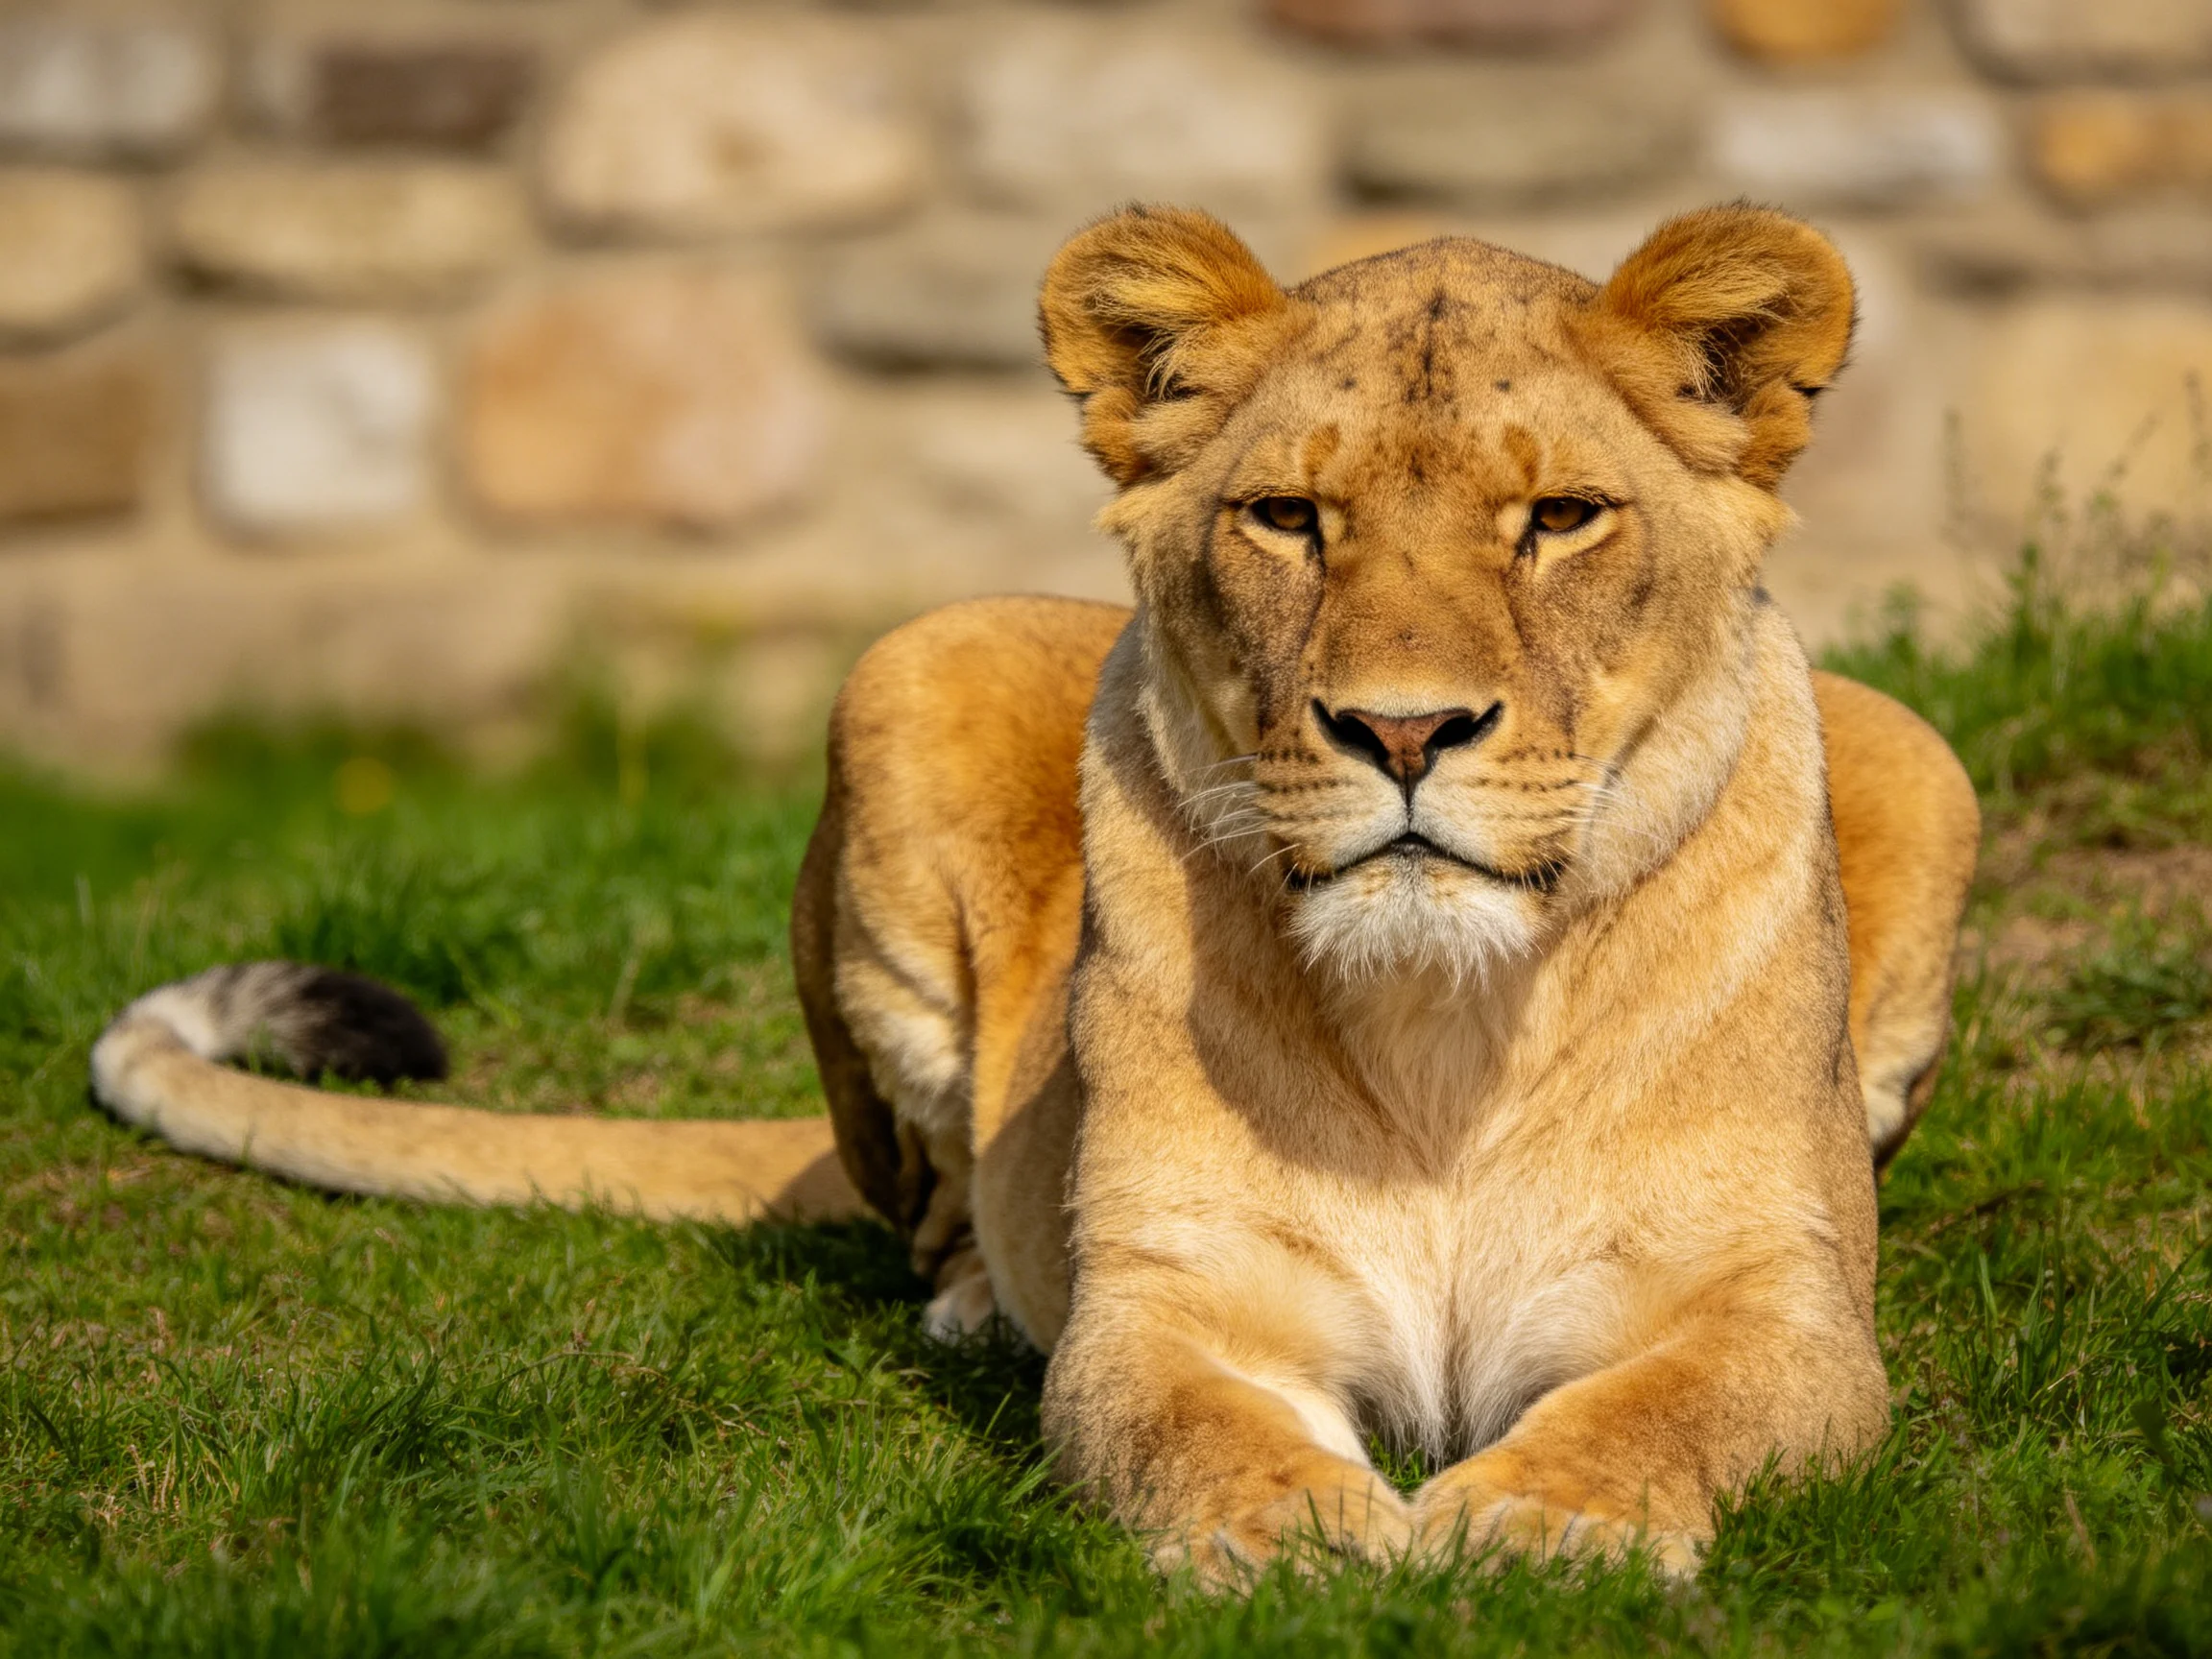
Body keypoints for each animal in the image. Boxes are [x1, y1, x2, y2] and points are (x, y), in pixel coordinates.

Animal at [91, 204, 1980, 1584]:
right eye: (1287, 517)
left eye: (1563, 517)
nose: (1399, 728)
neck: (1443, 1030)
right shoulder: (1168, 1299)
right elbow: (1184, 1428)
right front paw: (1296, 1540)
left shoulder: (1783, 1306)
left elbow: (1666, 1410)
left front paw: (1537, 1518)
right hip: (903, 672)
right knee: (925, 1207)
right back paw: (971, 1304)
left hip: (1921, 755)